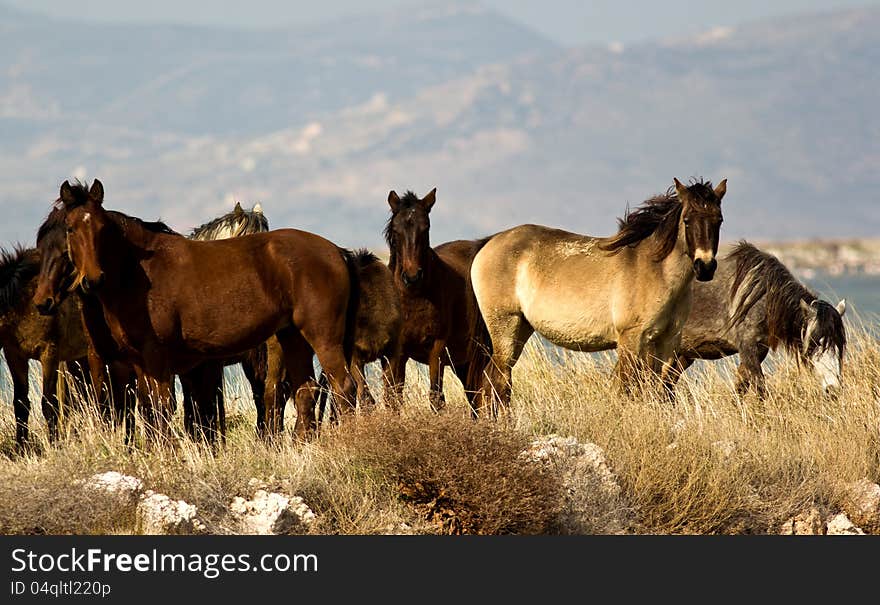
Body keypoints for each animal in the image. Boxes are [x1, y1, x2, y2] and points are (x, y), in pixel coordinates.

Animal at [43, 178, 360, 438]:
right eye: (71, 229)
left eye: (102, 229)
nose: (93, 279)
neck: (140, 271)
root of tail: (336, 252)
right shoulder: (139, 361)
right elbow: (149, 409)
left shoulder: (159, 358)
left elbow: (164, 408)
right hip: (292, 338)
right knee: (305, 391)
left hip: (321, 337)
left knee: (342, 388)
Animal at [382, 189, 496, 416]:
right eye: (396, 230)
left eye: (425, 227)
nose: (412, 276)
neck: (414, 297)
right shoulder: (398, 353)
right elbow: (394, 397)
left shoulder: (438, 349)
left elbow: (436, 398)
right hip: (464, 361)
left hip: (480, 354)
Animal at [474, 175, 728, 410]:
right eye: (687, 220)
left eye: (719, 220)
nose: (705, 267)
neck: (656, 271)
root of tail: (489, 243)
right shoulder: (630, 340)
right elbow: (628, 389)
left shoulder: (668, 342)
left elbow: (660, 391)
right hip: (505, 327)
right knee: (499, 381)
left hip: (522, 328)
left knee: (492, 380)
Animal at [672, 238, 844, 398]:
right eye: (815, 343)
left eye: (839, 345)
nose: (833, 390)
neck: (762, 298)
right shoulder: (748, 349)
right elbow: (760, 388)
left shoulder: (759, 350)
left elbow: (741, 387)